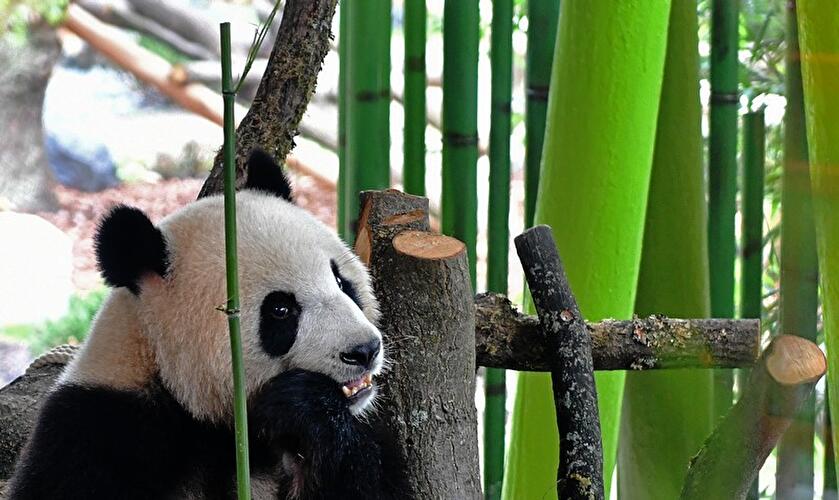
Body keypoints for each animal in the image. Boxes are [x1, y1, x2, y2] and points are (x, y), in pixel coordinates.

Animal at [8, 151, 403, 499]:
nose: (364, 350)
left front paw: (308, 410)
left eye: (340, 281)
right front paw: (305, 402)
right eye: (280, 310)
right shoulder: (98, 429)